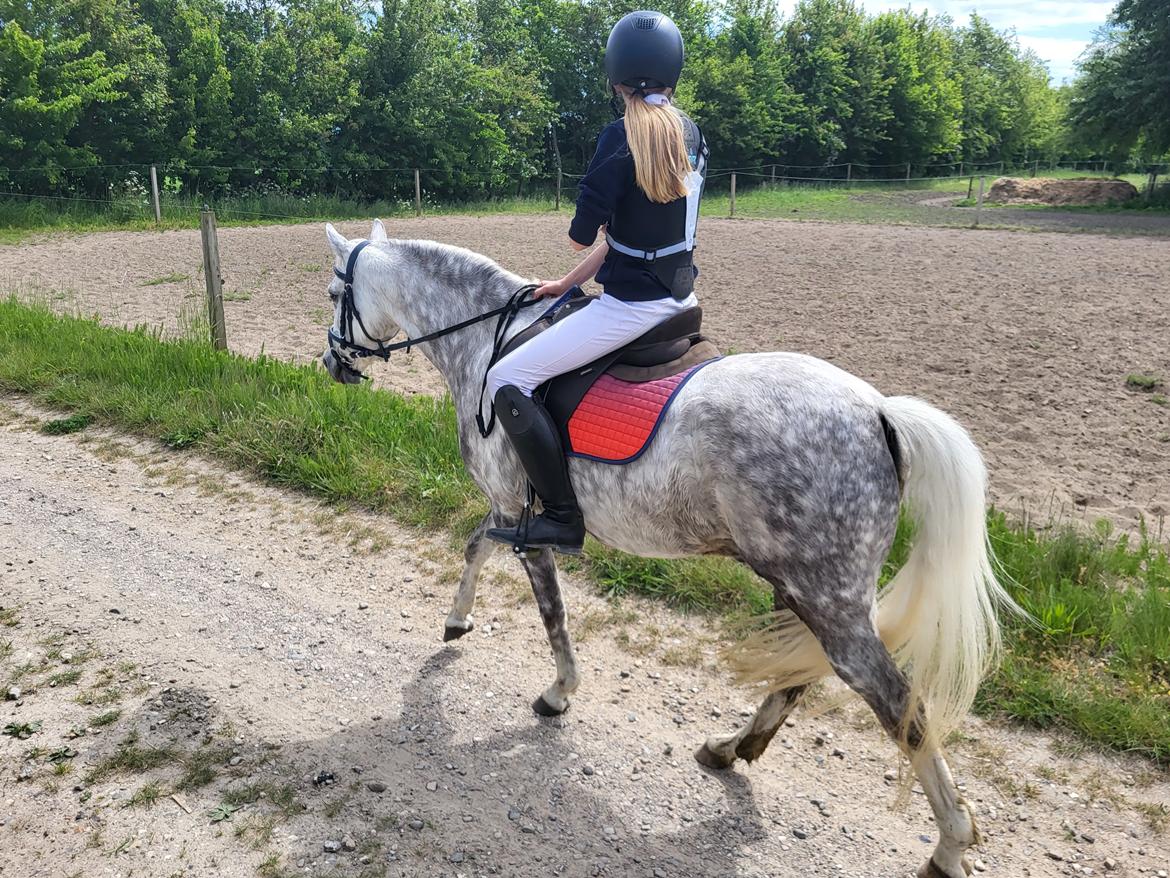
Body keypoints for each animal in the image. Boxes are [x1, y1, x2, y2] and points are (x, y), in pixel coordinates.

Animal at [319, 219, 1016, 878]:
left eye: (333, 293)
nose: (332, 365)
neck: (485, 339)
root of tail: (878, 410)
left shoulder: (520, 514)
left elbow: (550, 610)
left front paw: (559, 691)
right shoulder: (508, 510)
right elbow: (473, 548)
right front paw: (457, 620)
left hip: (827, 597)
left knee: (900, 706)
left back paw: (951, 844)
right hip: (804, 586)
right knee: (799, 678)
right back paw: (730, 749)